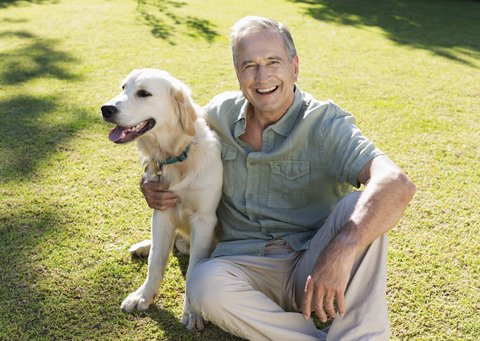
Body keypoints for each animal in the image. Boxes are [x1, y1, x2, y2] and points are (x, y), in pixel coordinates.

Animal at [102, 69, 222, 330]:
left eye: (144, 93)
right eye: (123, 88)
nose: (105, 109)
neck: (176, 157)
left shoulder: (204, 219)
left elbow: (194, 268)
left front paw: (193, 312)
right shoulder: (162, 211)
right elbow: (155, 261)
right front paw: (143, 295)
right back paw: (142, 246)